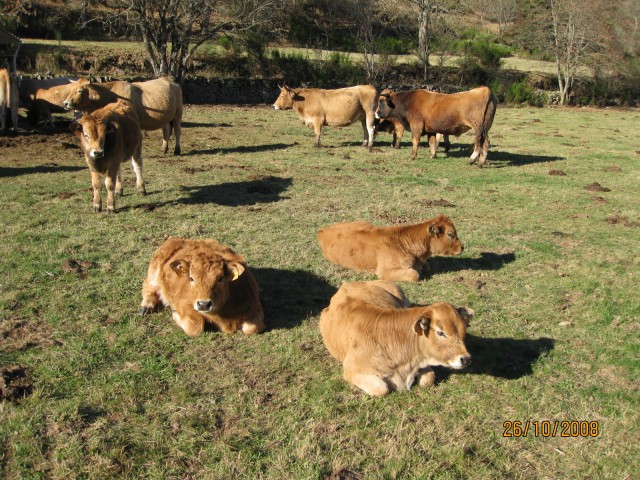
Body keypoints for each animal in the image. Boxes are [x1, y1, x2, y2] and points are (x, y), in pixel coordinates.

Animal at [318, 214, 462, 282]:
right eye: (450, 234)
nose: (462, 247)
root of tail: (322, 230)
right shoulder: (384, 271)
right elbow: (414, 274)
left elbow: (426, 266)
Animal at [320, 280, 476, 396]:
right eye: (440, 332)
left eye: (464, 329)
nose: (466, 359)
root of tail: (347, 284)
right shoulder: (351, 369)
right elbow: (381, 389)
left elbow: (428, 380)